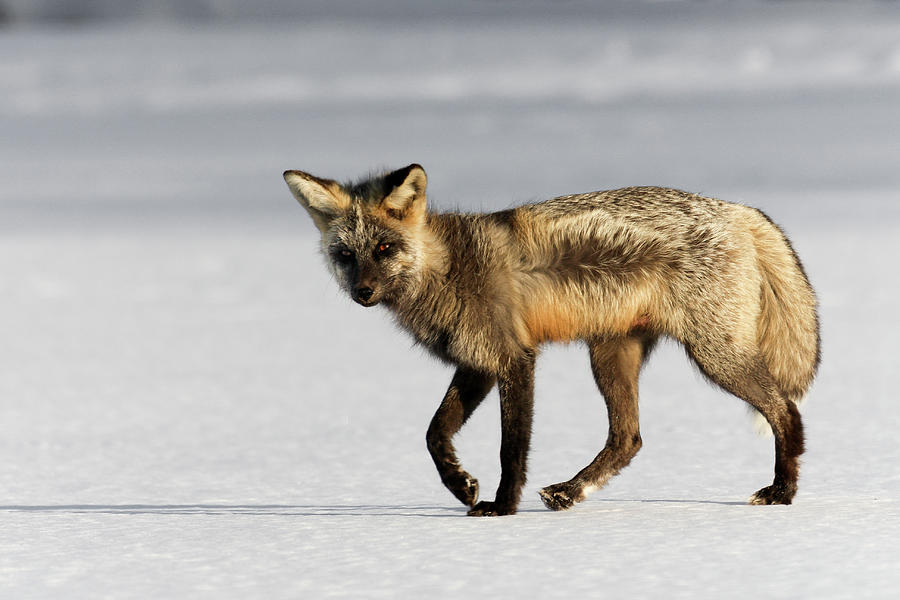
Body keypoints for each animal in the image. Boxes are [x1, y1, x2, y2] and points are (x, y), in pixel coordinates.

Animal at [284, 164, 820, 516]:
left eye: (383, 248)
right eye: (346, 255)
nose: (363, 292)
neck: (447, 269)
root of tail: (737, 208)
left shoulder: (513, 358)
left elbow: (511, 448)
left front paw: (502, 507)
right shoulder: (477, 361)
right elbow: (435, 434)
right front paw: (461, 486)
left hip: (714, 356)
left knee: (786, 412)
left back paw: (782, 493)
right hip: (610, 355)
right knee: (628, 438)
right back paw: (569, 492)